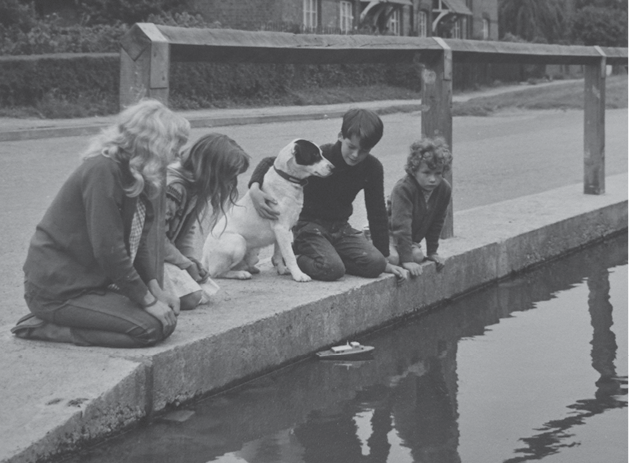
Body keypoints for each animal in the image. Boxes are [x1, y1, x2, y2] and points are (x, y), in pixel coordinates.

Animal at [204, 138, 336, 282]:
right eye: (314, 155)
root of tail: (204, 260)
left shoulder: (283, 231)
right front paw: (298, 275)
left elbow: (279, 254)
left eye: (321, 153)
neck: (287, 179)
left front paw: (282, 270)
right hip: (237, 242)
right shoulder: (281, 229)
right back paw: (240, 274)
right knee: (217, 272)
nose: (333, 168)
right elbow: (290, 256)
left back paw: (249, 268)